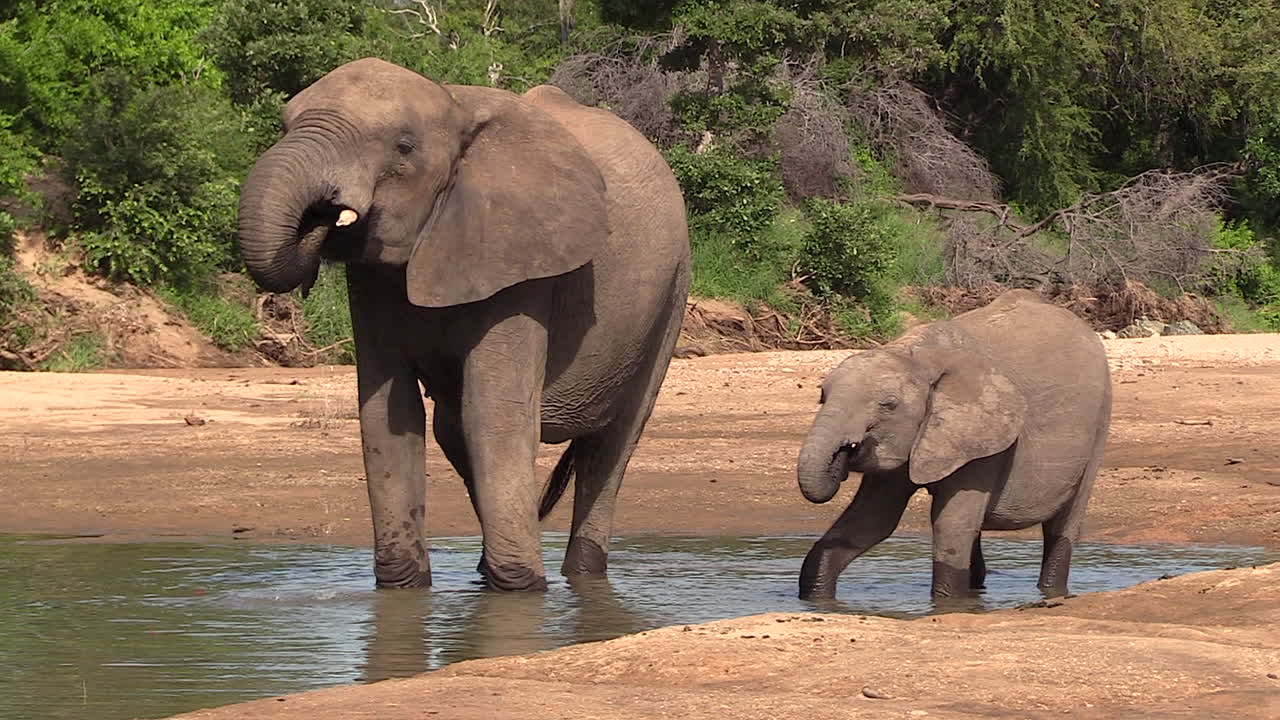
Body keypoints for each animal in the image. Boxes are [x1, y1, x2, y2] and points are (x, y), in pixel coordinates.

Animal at [236, 58, 690, 591]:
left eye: (404, 147)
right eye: (284, 126)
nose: (321, 217)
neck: (455, 106)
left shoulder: (520, 259)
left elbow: (493, 413)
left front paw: (519, 591)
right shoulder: (373, 280)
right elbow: (388, 411)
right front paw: (404, 590)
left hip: (671, 290)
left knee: (614, 440)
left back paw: (577, 573)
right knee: (453, 431)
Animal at [796, 290, 1112, 599]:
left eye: (889, 405)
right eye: (822, 395)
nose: (842, 456)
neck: (917, 356)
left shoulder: (986, 439)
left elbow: (950, 523)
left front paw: (947, 602)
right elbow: (872, 519)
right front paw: (817, 599)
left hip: (1099, 422)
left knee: (1064, 523)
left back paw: (1051, 592)